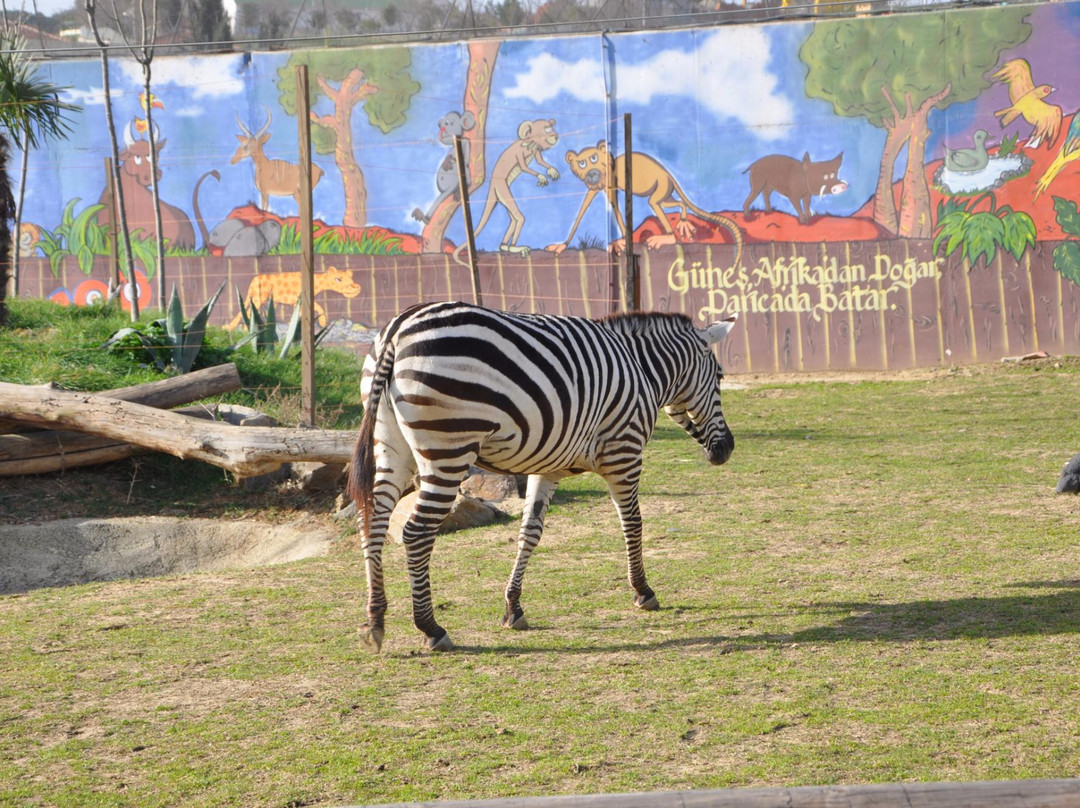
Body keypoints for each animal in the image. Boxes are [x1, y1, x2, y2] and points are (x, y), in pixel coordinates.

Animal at [349, 300, 738, 652]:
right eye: (720, 377)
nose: (728, 449)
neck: (643, 369)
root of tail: (399, 329)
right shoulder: (623, 453)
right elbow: (633, 523)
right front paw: (643, 592)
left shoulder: (547, 467)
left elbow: (529, 533)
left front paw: (513, 607)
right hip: (449, 450)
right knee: (416, 532)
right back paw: (431, 628)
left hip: (390, 445)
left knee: (373, 522)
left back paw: (374, 622)